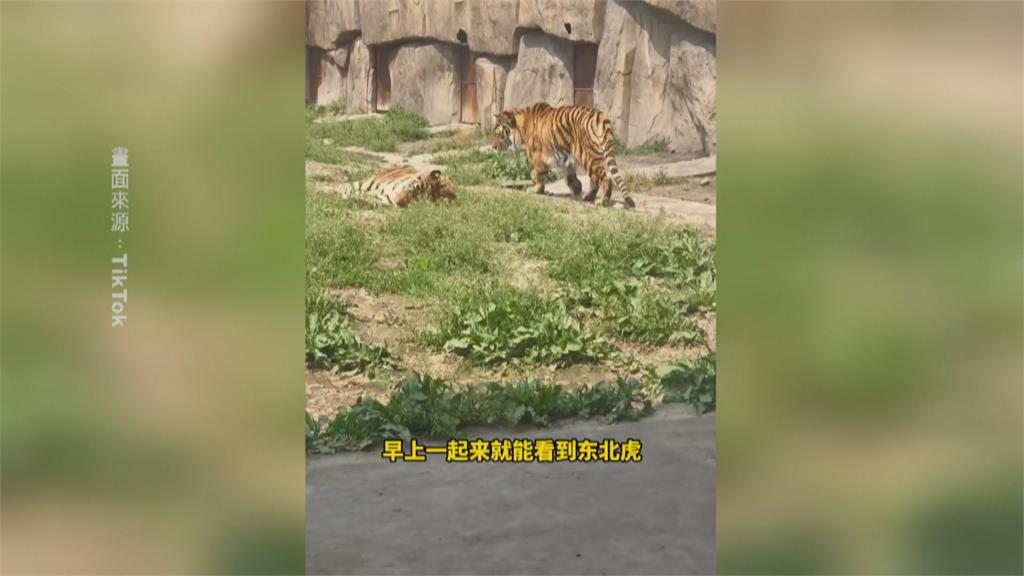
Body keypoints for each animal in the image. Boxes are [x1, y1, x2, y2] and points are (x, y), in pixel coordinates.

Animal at [492, 102, 635, 209]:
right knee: (595, 179)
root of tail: (600, 116)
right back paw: (588, 197)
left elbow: (539, 175)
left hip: (588, 156)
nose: (493, 146)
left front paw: (535, 189)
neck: (522, 126)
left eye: (499, 134)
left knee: (606, 178)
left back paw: (602, 201)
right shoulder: (566, 159)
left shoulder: (538, 156)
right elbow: (570, 177)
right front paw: (577, 189)